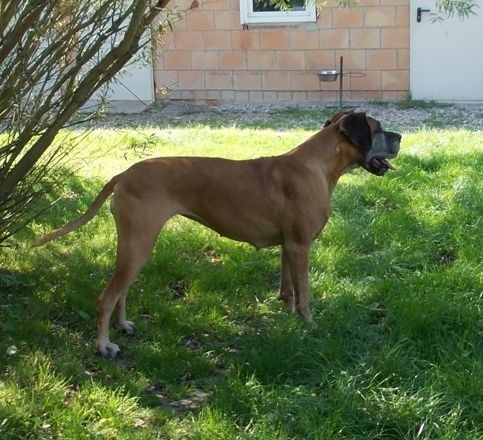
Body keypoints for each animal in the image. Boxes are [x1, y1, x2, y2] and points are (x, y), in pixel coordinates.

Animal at [36, 110, 401, 357]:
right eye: (378, 129)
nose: (400, 138)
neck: (320, 164)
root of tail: (124, 174)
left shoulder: (288, 247)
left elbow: (288, 291)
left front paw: (289, 318)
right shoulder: (300, 247)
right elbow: (305, 293)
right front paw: (310, 325)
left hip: (134, 246)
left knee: (120, 292)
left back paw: (123, 327)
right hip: (138, 244)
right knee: (106, 298)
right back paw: (104, 346)